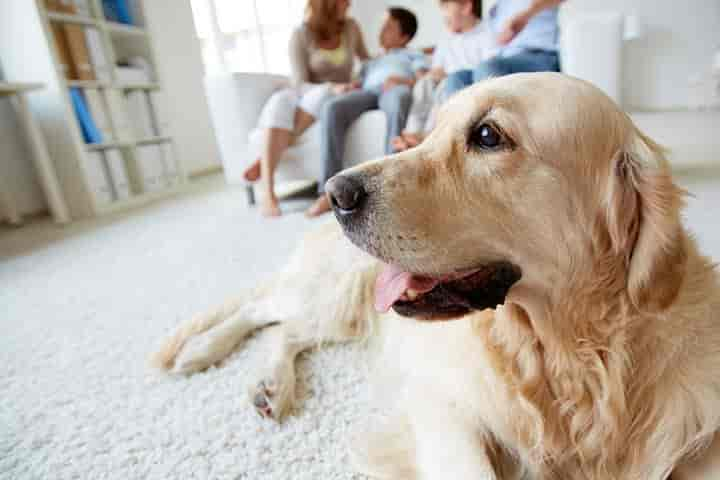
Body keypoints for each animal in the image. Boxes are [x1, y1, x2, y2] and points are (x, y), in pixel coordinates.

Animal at [153, 73, 720, 478]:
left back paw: (269, 384)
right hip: (340, 292)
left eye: (487, 135)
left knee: (287, 329)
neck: (565, 355)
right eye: (431, 132)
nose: (335, 193)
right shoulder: (443, 403)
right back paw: (203, 351)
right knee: (265, 310)